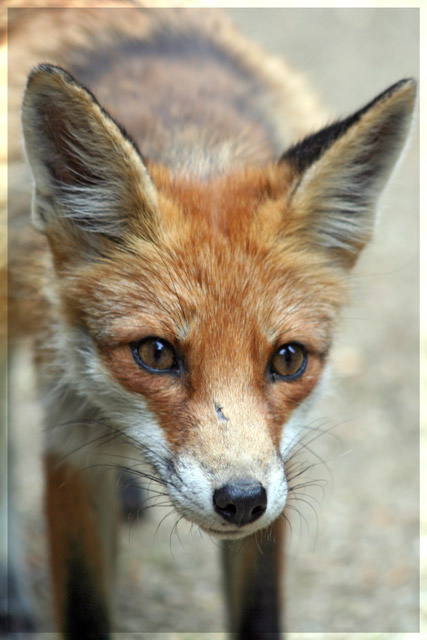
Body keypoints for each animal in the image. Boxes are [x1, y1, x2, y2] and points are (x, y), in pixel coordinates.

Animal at [3, 4, 416, 638]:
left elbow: (258, 609)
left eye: (288, 359)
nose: (242, 499)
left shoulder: (280, 453)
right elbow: (85, 606)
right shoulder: (67, 434)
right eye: (155, 353)